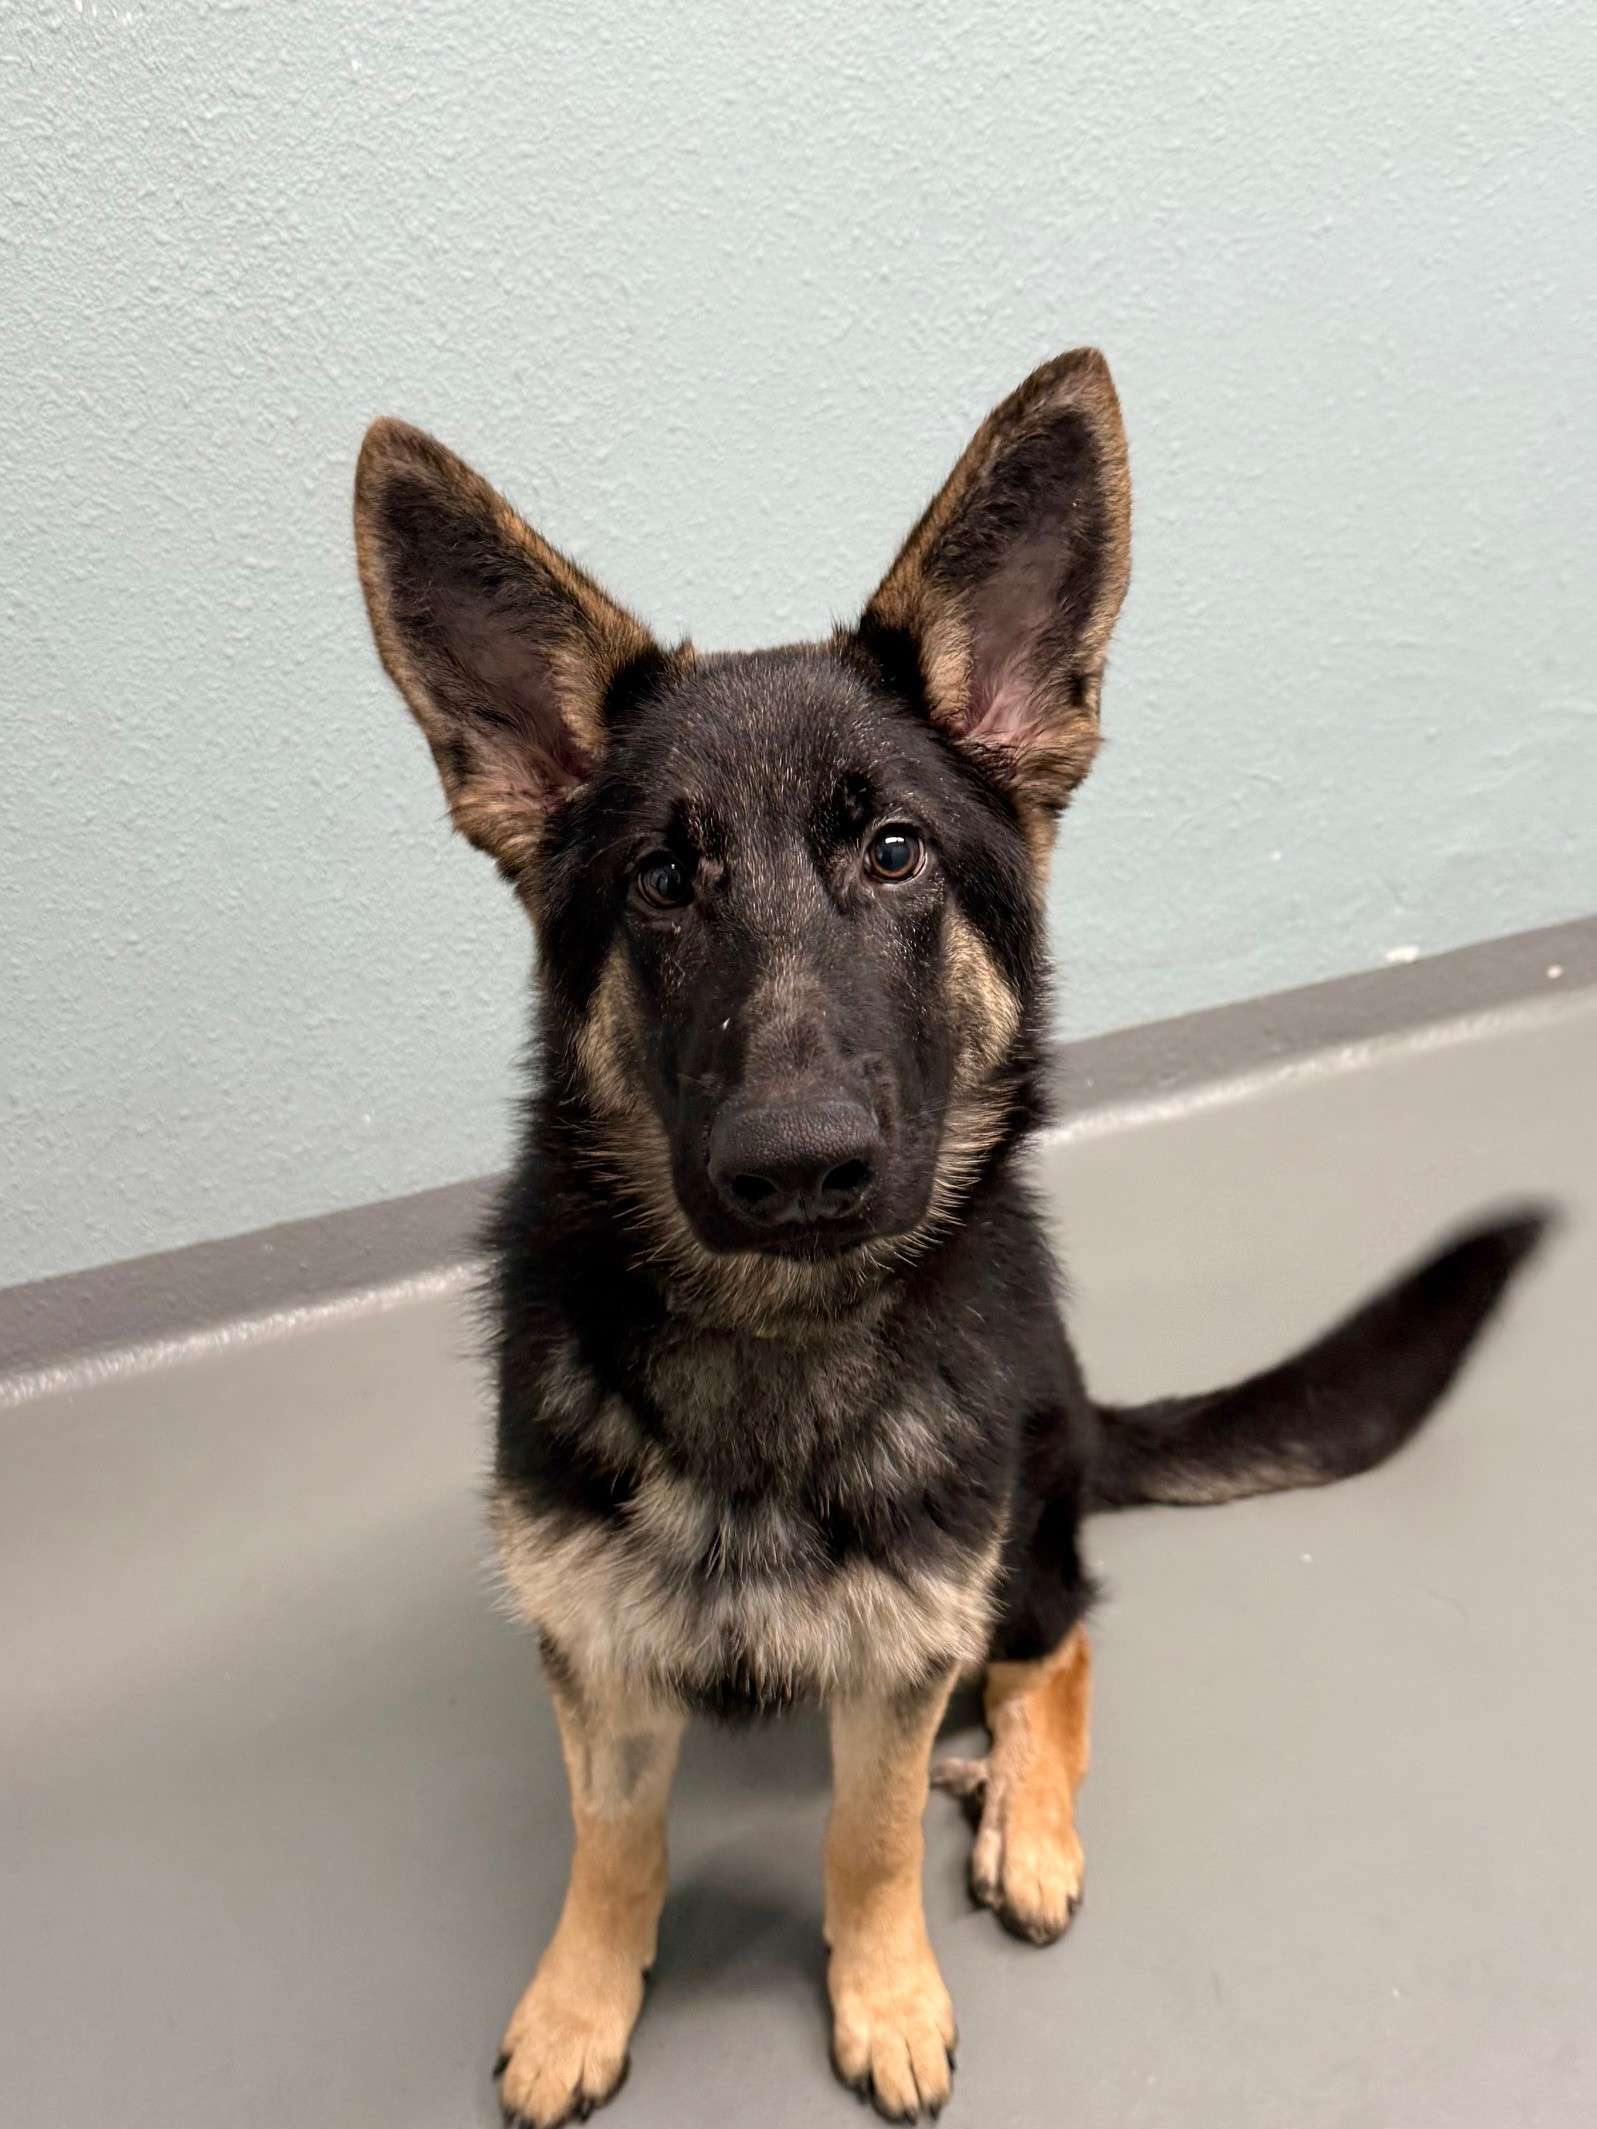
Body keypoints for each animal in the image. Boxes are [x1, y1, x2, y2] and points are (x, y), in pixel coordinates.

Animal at [353, 349, 1546, 2127]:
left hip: (1019, 1537)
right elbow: (610, 1835)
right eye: (661, 881)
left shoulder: (903, 1656)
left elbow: (862, 1835)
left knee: (1063, 1643)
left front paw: (886, 1991)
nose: (799, 1169)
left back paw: (1024, 1819)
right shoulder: (599, 1656)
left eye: (894, 851)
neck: (776, 1353)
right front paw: (582, 1998)